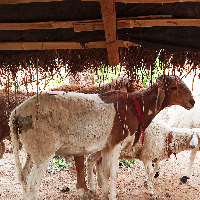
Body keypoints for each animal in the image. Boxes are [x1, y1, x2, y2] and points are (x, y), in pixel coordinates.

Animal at [9, 75, 195, 200]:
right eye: (174, 88)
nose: (192, 101)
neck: (134, 106)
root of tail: (16, 112)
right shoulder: (116, 143)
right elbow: (113, 173)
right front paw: (112, 195)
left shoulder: (106, 146)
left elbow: (104, 172)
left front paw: (105, 194)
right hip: (43, 151)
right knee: (32, 185)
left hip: (31, 151)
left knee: (24, 178)